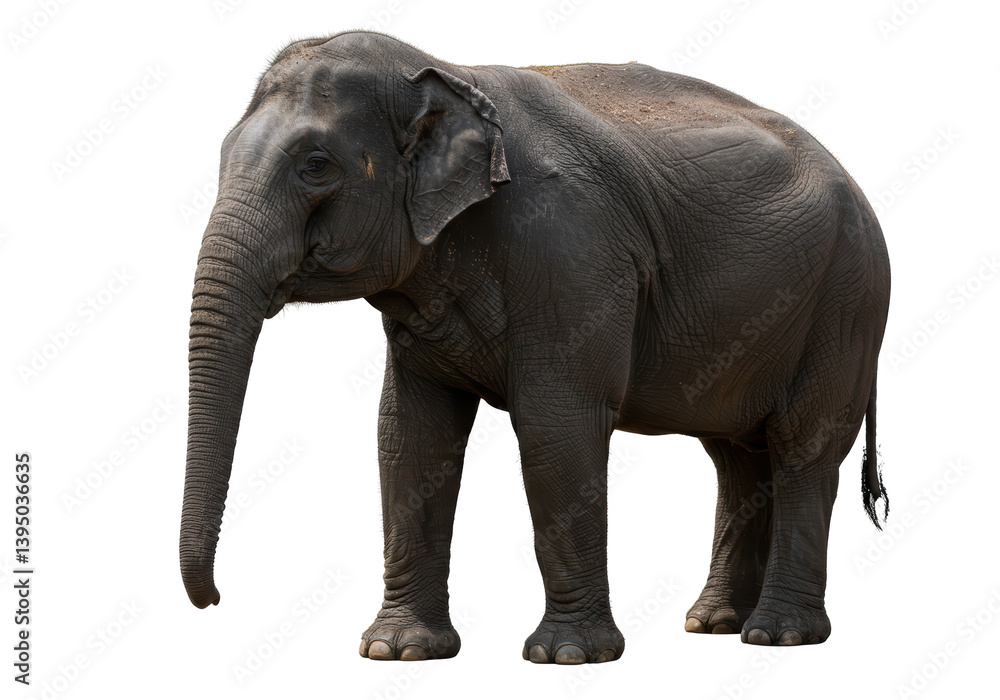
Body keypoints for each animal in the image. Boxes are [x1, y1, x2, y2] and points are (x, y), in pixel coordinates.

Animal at [180, 31, 890, 664]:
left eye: (315, 165)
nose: (214, 599)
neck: (443, 68)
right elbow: (409, 434)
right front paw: (398, 651)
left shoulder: (571, 256)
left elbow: (557, 424)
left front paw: (567, 656)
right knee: (737, 454)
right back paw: (712, 625)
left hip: (846, 301)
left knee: (803, 446)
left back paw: (778, 637)